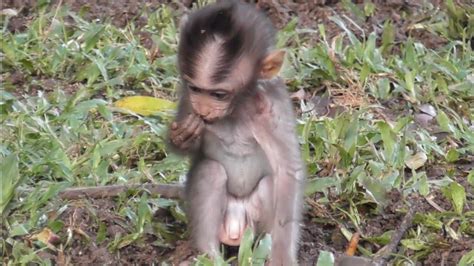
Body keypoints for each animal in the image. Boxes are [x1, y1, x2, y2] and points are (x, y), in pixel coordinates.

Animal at [168, 1, 306, 264]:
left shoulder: (272, 109)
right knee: (211, 172)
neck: (237, 109)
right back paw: (209, 254)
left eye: (219, 94)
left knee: (270, 184)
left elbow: (287, 171)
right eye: (195, 88)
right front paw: (183, 138)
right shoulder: (188, 101)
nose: (203, 110)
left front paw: (282, 256)